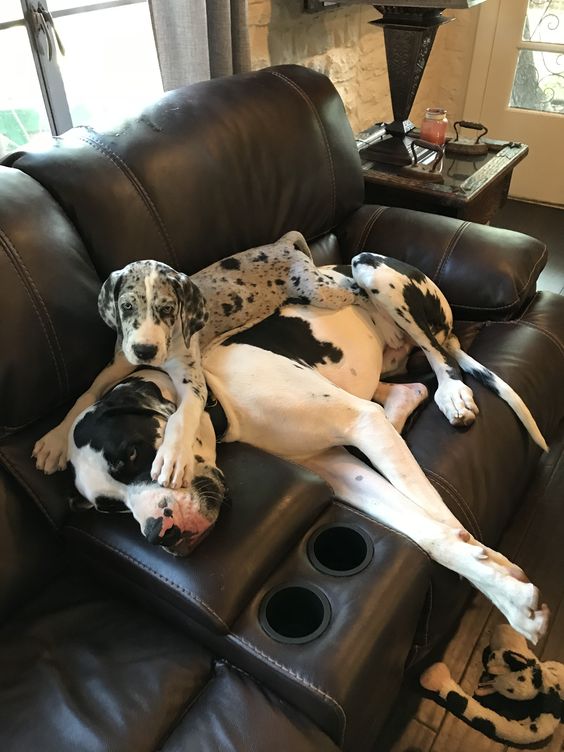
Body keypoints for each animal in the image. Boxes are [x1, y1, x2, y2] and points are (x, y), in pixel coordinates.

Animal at [64, 245, 548, 640]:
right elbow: (432, 533)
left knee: (439, 355)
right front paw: (504, 587)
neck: (221, 397)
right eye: (109, 508)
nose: (158, 533)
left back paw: (452, 393)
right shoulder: (339, 470)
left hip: (374, 271)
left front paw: (502, 580)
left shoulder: (362, 422)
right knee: (409, 390)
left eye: (133, 453)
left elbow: (440, 514)